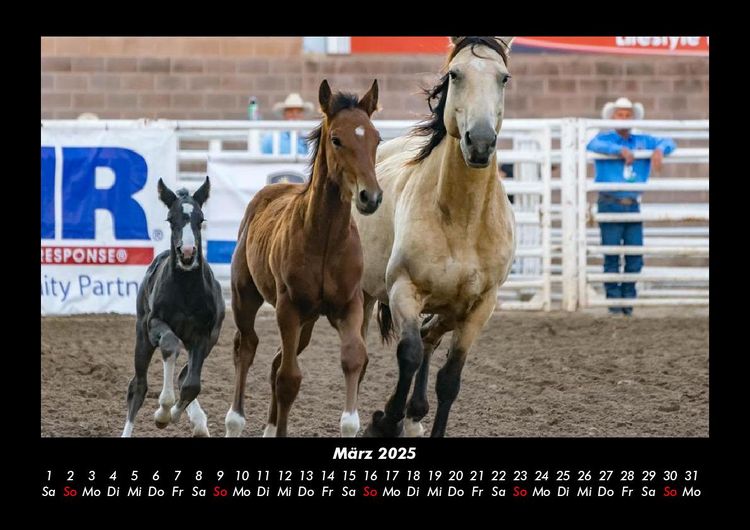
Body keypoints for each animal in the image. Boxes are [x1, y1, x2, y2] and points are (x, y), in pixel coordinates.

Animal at [122, 177, 225, 437]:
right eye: (170, 219)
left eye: (201, 219)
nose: (187, 253)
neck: (186, 292)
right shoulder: (154, 325)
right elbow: (169, 345)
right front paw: (162, 411)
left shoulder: (203, 335)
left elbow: (192, 384)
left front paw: (175, 415)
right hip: (142, 336)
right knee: (137, 386)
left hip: (209, 340)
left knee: (183, 375)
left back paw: (199, 423)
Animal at [224, 79, 382, 437]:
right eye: (336, 139)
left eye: (376, 138)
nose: (371, 196)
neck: (325, 240)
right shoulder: (289, 307)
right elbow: (288, 379)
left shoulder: (349, 305)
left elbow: (354, 357)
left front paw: (350, 422)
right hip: (245, 296)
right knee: (247, 347)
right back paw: (234, 421)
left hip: (308, 321)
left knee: (274, 359)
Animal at [354, 37, 517, 437]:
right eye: (455, 74)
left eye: (503, 78)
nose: (480, 142)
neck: (463, 220)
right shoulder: (404, 289)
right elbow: (408, 354)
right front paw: (385, 421)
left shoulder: (480, 307)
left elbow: (450, 379)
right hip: (364, 294)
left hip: (448, 308)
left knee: (430, 337)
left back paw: (415, 414)